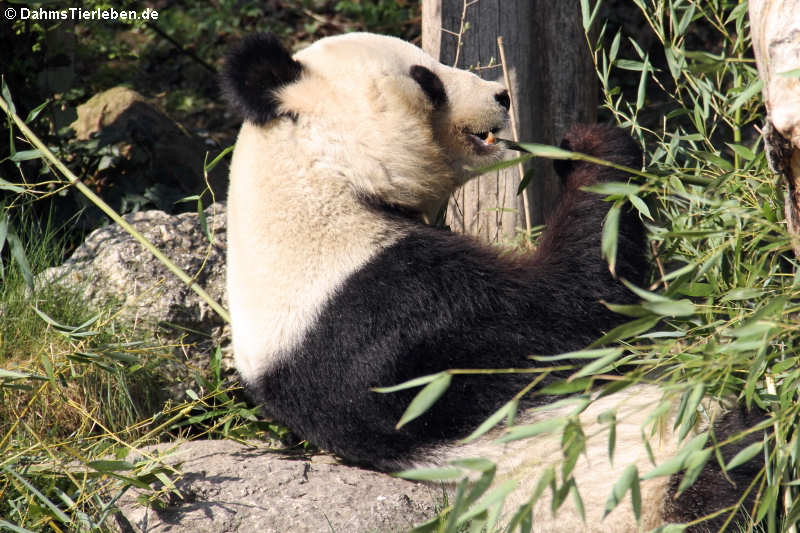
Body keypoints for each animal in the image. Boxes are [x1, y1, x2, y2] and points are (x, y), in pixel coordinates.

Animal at [219, 32, 764, 528]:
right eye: (426, 79)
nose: (502, 94)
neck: (320, 181)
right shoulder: (391, 305)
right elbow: (578, 313)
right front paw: (592, 147)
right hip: (652, 475)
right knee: (735, 465)